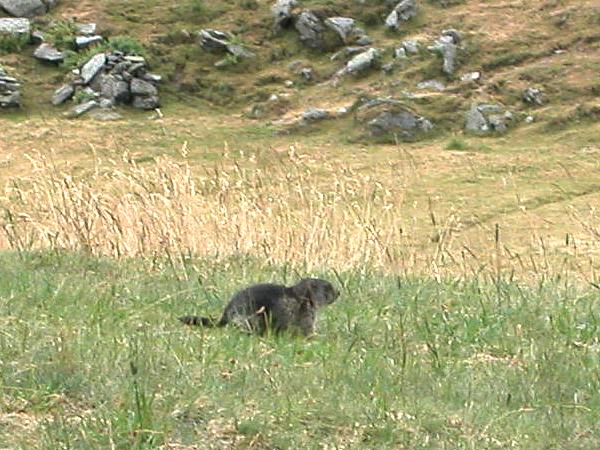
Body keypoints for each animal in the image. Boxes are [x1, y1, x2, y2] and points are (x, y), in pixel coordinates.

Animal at [178, 278, 340, 336]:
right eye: (327, 287)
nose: (339, 292)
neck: (301, 296)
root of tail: (225, 316)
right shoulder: (304, 311)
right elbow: (306, 326)